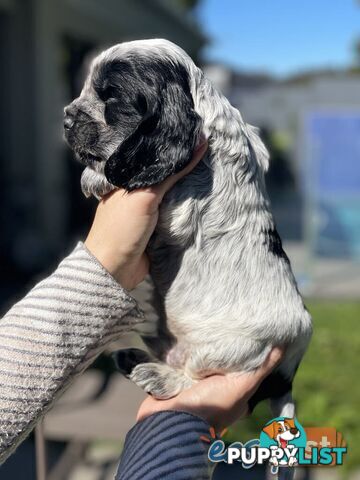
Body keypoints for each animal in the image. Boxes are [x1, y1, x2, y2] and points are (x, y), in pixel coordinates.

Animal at [64, 40, 312, 424]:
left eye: (112, 98)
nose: (65, 118)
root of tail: (284, 380)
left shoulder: (180, 200)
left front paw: (95, 176)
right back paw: (133, 357)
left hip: (233, 349)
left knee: (192, 378)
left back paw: (156, 375)